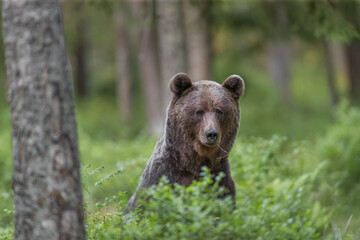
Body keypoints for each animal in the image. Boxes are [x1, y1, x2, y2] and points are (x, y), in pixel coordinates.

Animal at [126, 72, 245, 210]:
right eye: (199, 111)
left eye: (219, 111)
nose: (211, 134)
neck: (193, 163)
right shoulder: (162, 176)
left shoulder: (220, 178)